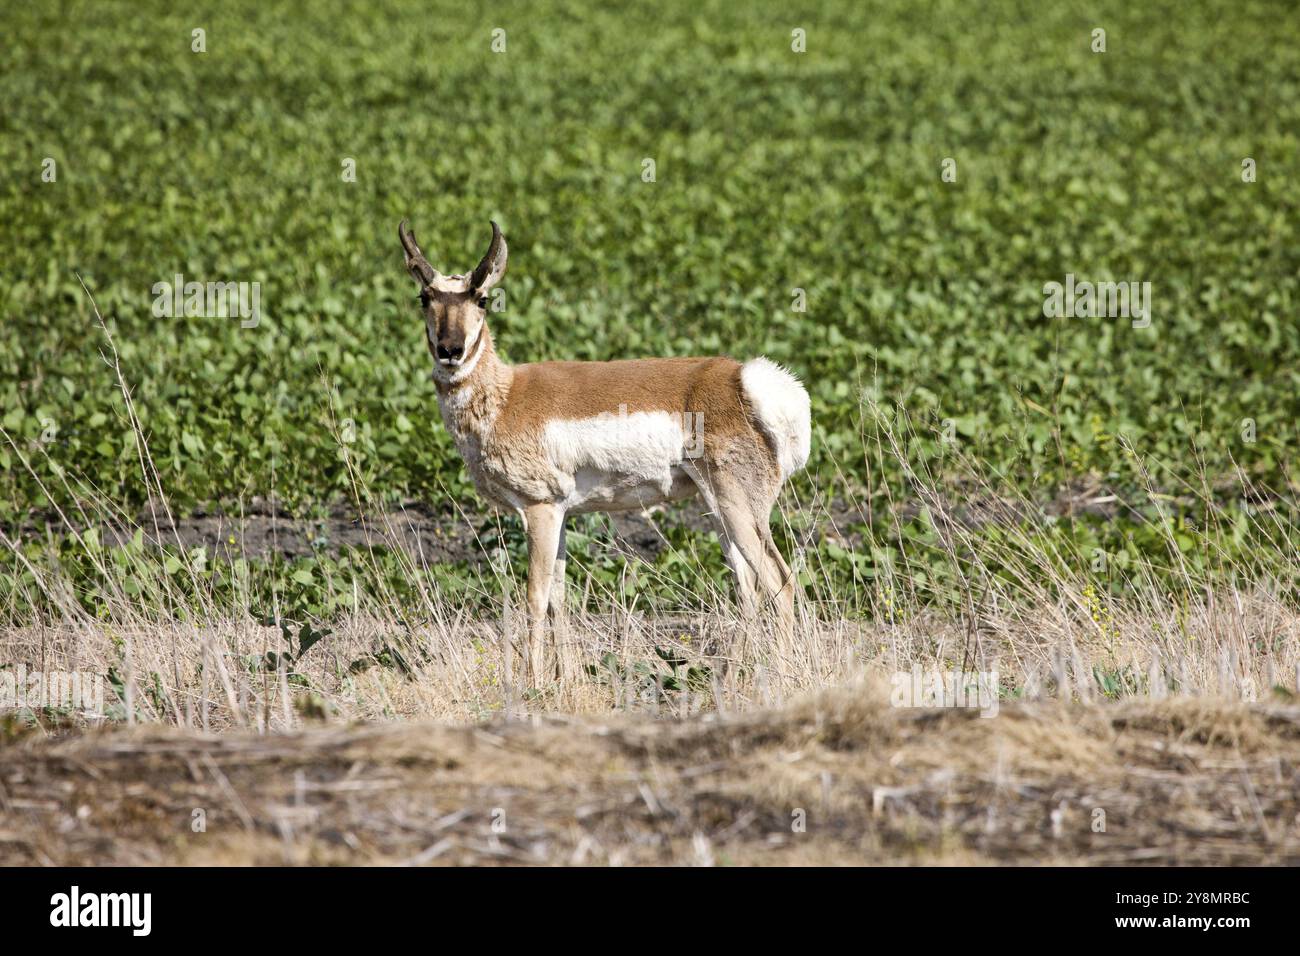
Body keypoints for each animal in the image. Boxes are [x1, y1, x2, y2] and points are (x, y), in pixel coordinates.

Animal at [400, 218, 811, 681]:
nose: (450, 351)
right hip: (721, 511)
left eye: (482, 298)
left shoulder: (539, 508)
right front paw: (563, 680)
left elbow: (535, 597)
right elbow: (559, 597)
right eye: (424, 297)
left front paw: (533, 683)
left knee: (779, 583)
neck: (506, 395)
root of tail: (741, 379)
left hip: (738, 509)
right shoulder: (560, 513)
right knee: (748, 589)